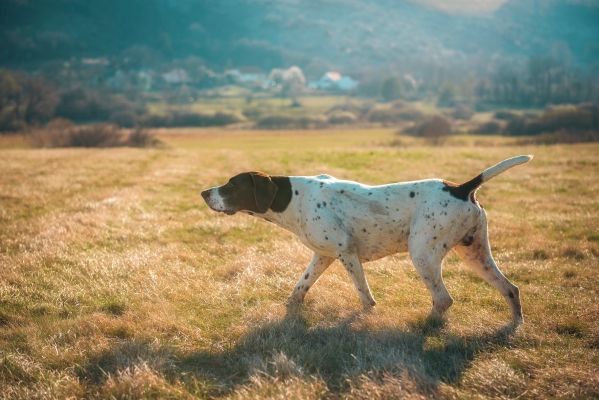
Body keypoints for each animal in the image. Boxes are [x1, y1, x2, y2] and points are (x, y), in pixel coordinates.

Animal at [203, 154, 536, 324]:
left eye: (232, 185)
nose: (204, 192)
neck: (294, 198)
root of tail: (461, 187)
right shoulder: (322, 256)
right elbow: (299, 287)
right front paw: (288, 308)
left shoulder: (345, 251)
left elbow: (364, 295)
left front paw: (366, 316)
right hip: (476, 255)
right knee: (511, 289)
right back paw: (514, 328)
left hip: (423, 253)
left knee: (443, 299)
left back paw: (423, 327)